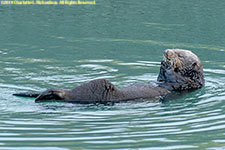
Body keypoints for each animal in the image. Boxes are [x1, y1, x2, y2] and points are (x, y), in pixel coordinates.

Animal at [13, 49, 205, 103]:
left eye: (180, 54)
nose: (166, 52)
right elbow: (160, 78)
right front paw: (161, 63)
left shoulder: (184, 83)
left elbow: (174, 78)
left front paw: (167, 65)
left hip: (99, 86)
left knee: (67, 95)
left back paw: (43, 96)